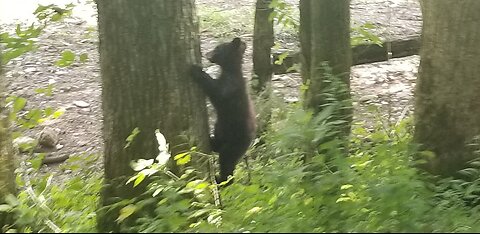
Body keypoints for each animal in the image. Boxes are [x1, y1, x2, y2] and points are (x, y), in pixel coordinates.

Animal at [190, 37, 256, 186]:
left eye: (217, 48)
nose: (206, 53)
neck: (231, 71)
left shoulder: (230, 88)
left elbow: (216, 91)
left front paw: (195, 70)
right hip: (223, 132)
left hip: (236, 141)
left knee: (227, 159)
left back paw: (221, 180)